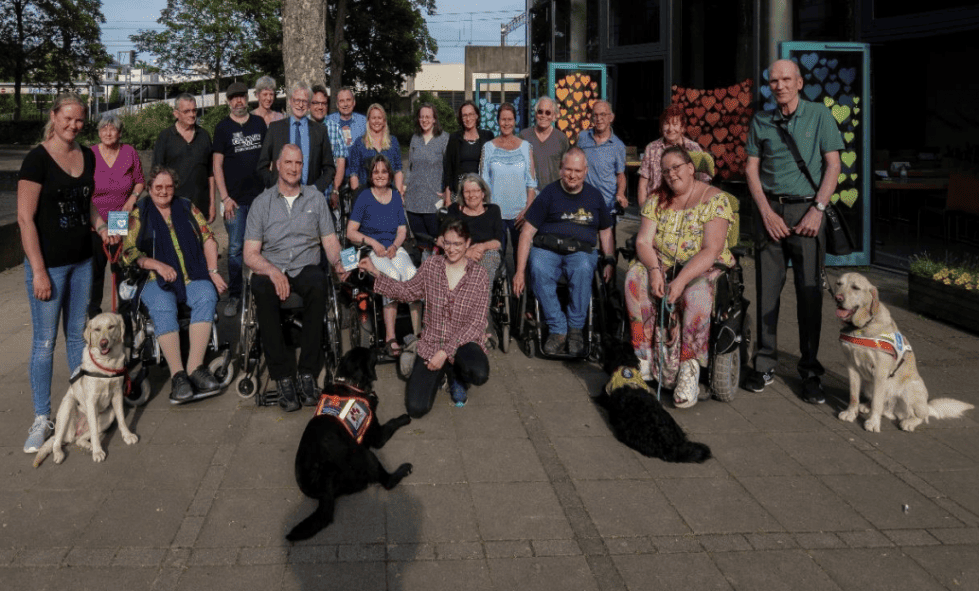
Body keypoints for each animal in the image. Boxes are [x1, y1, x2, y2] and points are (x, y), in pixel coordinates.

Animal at [290, 350, 416, 544]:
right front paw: (403, 417)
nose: (387, 350)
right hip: (366, 454)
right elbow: (392, 423)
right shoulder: (377, 436)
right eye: (373, 352)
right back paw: (403, 469)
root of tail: (325, 480)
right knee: (387, 481)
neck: (350, 382)